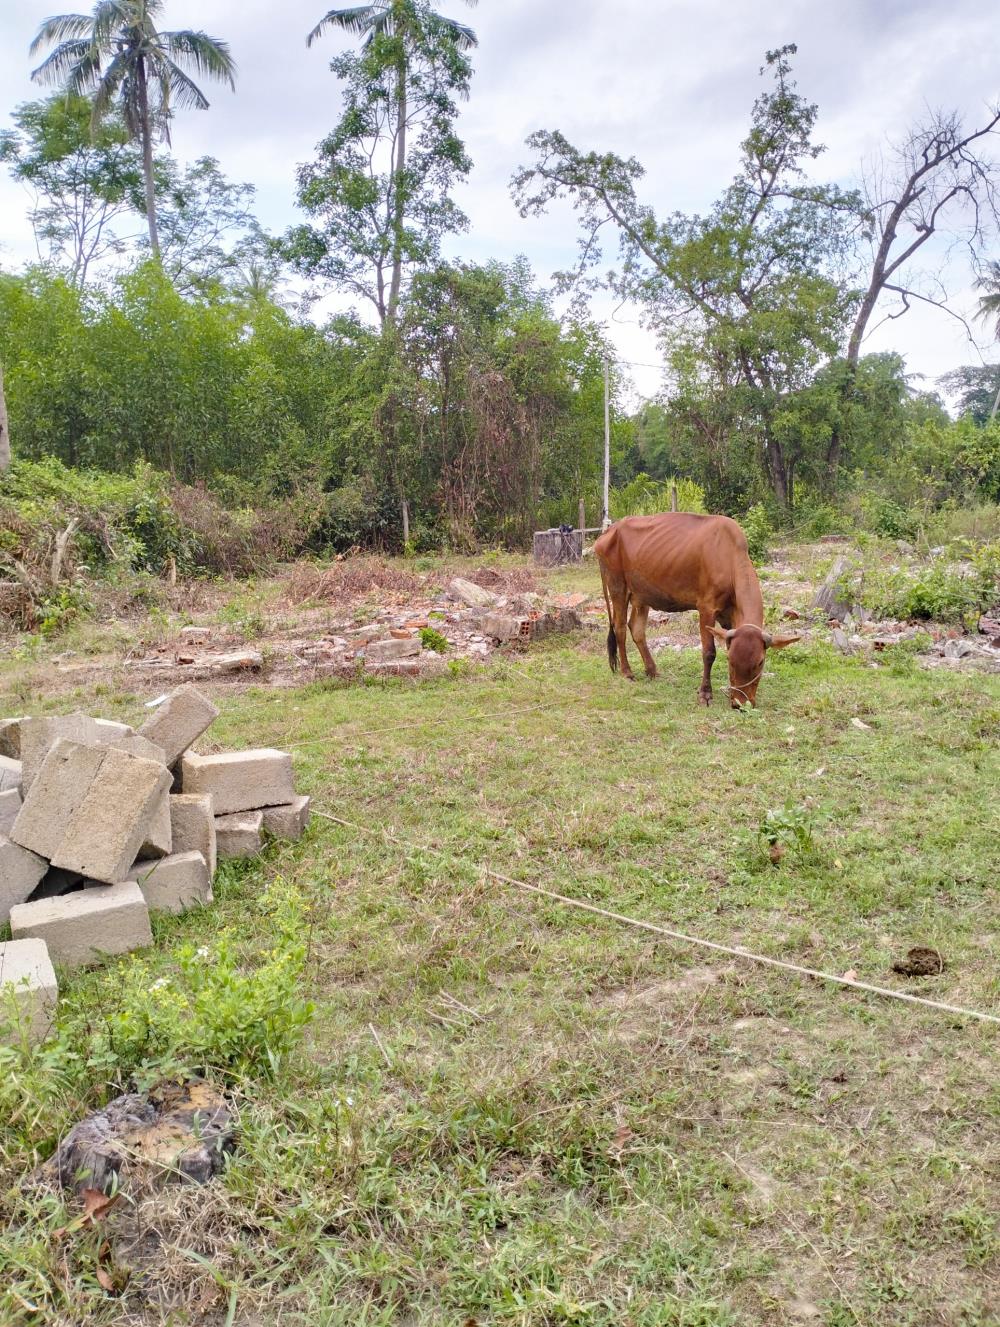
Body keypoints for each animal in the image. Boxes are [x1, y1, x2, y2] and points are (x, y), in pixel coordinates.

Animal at [591, 512, 795, 711]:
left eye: (760, 662)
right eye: (730, 660)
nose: (740, 704)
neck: (728, 556)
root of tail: (608, 532)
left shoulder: (730, 617)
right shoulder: (706, 607)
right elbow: (709, 653)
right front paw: (705, 694)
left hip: (641, 595)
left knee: (637, 629)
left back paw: (652, 671)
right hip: (617, 586)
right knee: (620, 628)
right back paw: (627, 673)